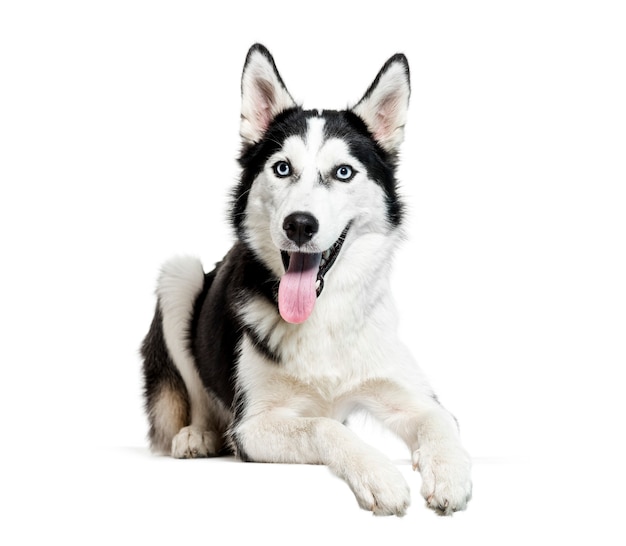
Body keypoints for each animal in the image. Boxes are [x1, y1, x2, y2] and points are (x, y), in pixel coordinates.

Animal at [141, 43, 470, 516]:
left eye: (343, 172)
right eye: (282, 168)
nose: (299, 224)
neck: (323, 317)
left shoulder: (413, 396)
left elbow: (440, 422)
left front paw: (449, 473)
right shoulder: (252, 427)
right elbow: (323, 427)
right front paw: (379, 476)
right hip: (178, 275)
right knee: (200, 392)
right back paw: (199, 434)